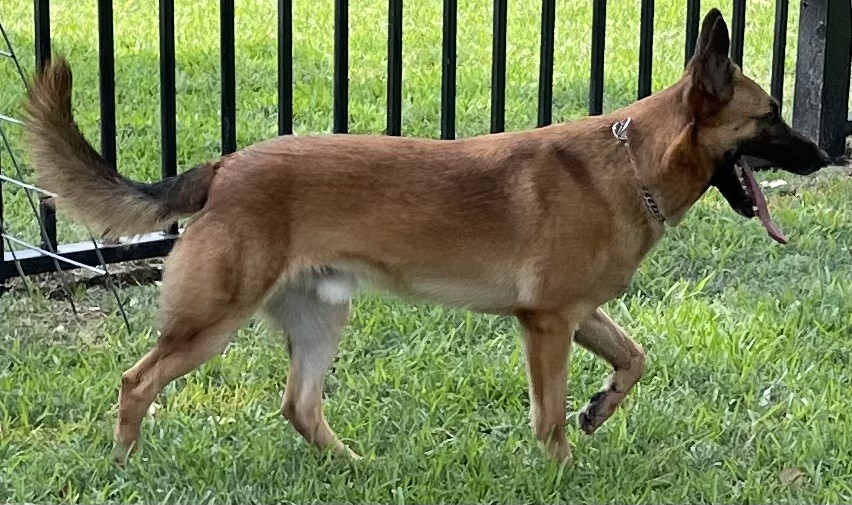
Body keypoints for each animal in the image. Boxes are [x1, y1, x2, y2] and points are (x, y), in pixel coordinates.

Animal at [23, 8, 830, 464]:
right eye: (770, 116)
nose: (825, 153)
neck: (630, 164)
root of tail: (224, 168)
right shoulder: (546, 325)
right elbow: (549, 420)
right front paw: (563, 472)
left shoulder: (574, 314)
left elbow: (634, 358)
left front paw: (600, 406)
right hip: (212, 322)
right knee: (137, 381)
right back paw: (129, 467)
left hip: (321, 317)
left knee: (299, 407)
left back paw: (356, 469)